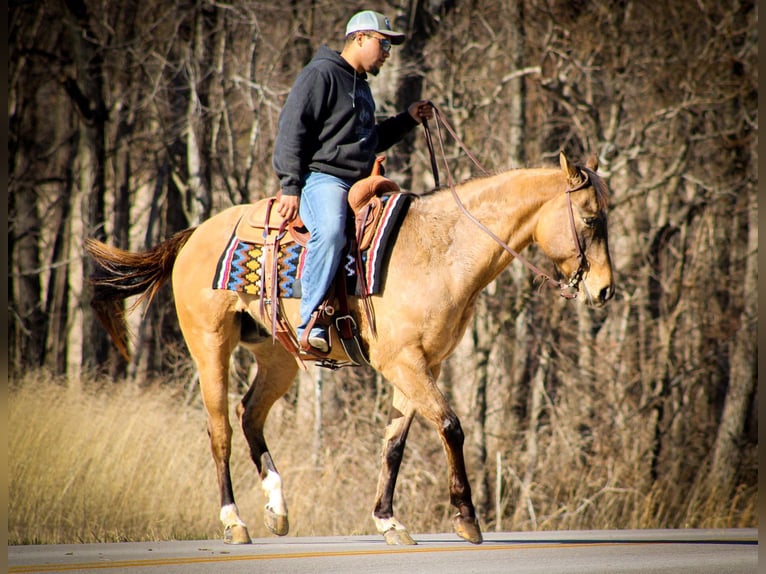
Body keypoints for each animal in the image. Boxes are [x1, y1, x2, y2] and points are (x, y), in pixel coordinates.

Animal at [84, 152, 616, 548]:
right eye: (591, 219)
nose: (606, 290)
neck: (440, 249)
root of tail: (195, 235)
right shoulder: (404, 363)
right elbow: (450, 426)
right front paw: (466, 518)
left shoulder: (421, 365)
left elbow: (394, 443)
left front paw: (389, 521)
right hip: (209, 346)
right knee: (220, 431)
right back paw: (235, 522)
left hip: (278, 358)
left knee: (249, 414)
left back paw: (277, 507)